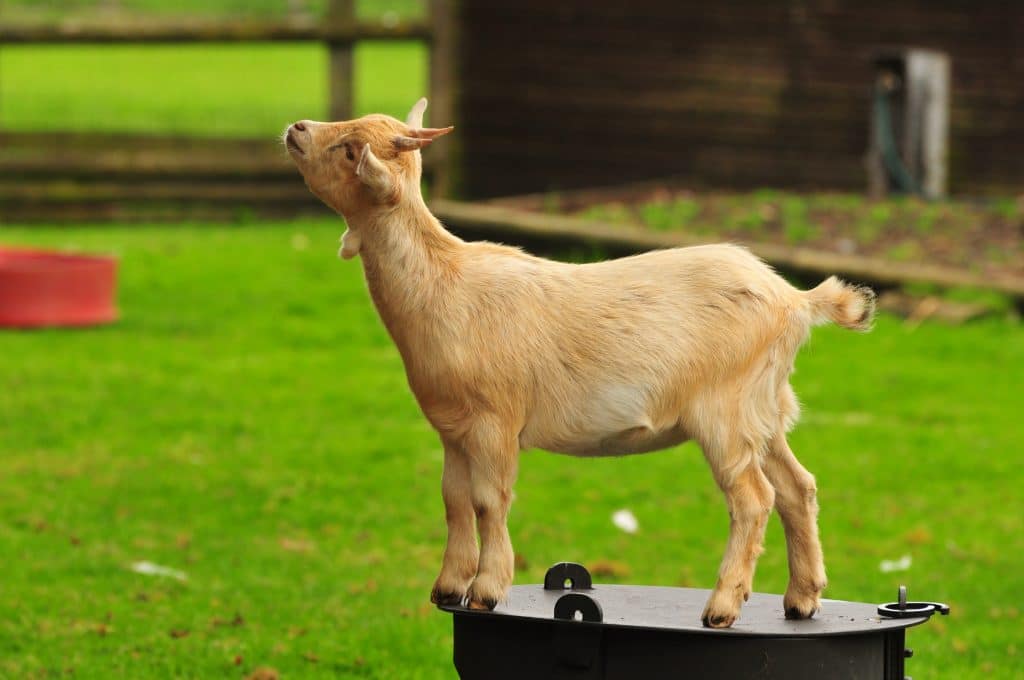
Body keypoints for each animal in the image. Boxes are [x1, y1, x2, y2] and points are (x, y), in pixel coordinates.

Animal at [284, 98, 876, 630]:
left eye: (349, 149)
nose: (296, 128)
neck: (443, 283)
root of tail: (795, 300)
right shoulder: (451, 429)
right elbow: (454, 500)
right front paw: (448, 587)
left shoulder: (494, 423)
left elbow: (489, 501)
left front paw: (486, 591)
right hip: (765, 410)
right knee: (798, 487)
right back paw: (802, 599)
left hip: (725, 412)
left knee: (754, 499)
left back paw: (723, 607)